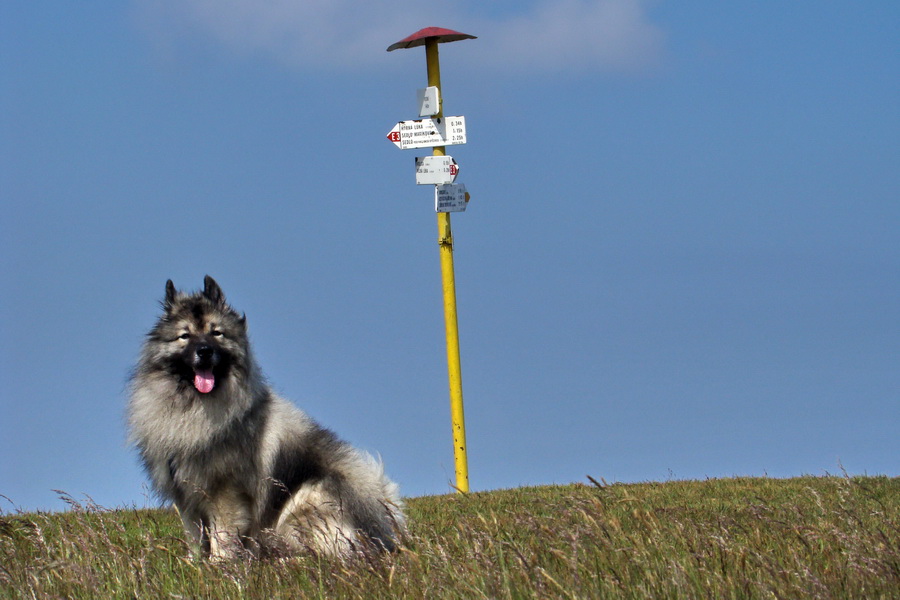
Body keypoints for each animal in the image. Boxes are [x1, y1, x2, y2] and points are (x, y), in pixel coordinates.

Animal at [127, 276, 404, 556]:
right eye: (185, 336)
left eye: (217, 333)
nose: (204, 351)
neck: (193, 406)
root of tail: (383, 531)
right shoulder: (187, 500)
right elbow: (197, 540)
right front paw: (196, 564)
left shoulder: (225, 494)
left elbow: (222, 538)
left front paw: (220, 564)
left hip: (306, 499)